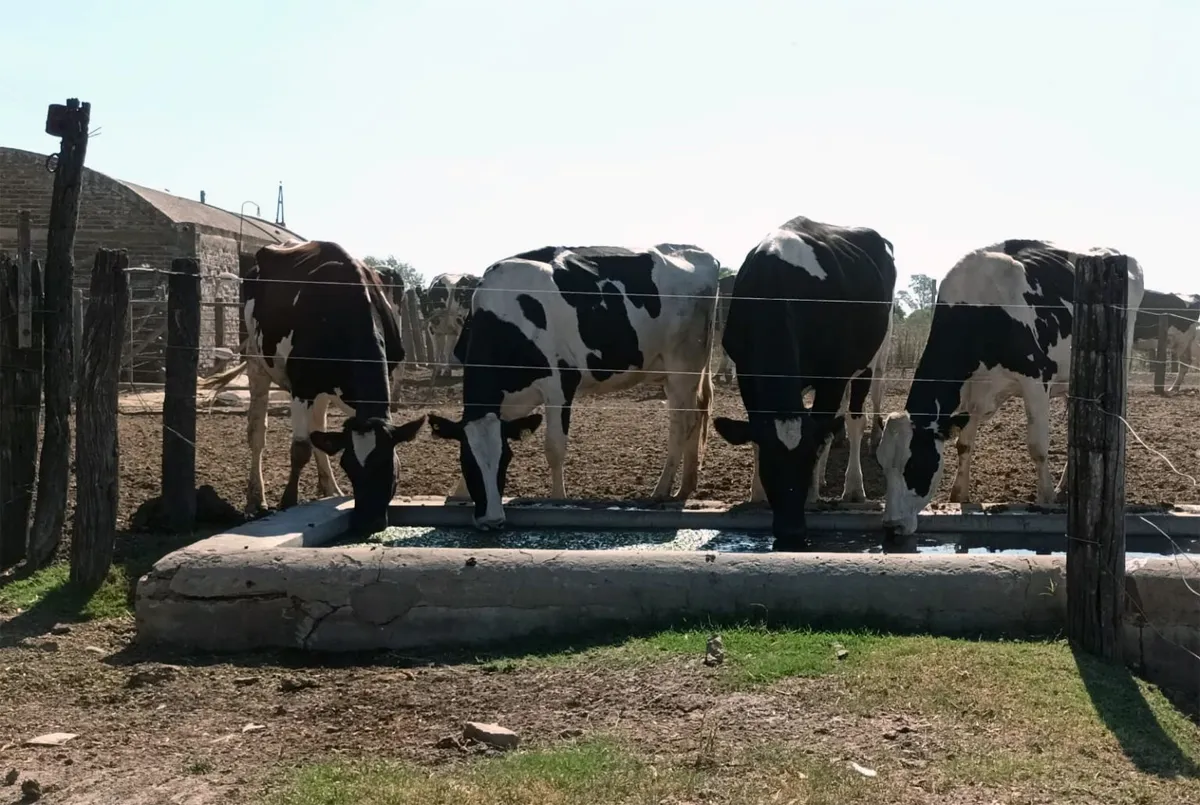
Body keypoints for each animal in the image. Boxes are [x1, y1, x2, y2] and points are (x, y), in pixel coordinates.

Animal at [198, 240, 427, 534]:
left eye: (388, 465)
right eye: (349, 466)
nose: (367, 522)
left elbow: (321, 438)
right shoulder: (301, 387)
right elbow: (300, 449)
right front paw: (288, 502)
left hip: (322, 391)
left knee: (319, 429)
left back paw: (330, 490)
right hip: (257, 362)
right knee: (257, 434)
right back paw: (255, 500)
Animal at [426, 243, 721, 530]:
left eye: (506, 459)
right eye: (466, 461)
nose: (491, 519)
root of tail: (699, 253)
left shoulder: (560, 384)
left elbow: (554, 449)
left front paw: (558, 501)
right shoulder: (509, 399)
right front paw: (459, 495)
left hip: (683, 367)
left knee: (683, 425)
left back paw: (663, 490)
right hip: (673, 375)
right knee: (692, 417)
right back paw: (685, 487)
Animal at [711, 216, 898, 551]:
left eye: (804, 462)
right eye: (771, 466)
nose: (792, 532)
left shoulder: (834, 375)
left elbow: (824, 430)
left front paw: (811, 491)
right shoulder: (746, 372)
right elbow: (760, 429)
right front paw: (757, 491)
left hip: (872, 359)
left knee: (854, 419)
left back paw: (852, 487)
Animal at [876, 239, 1146, 538]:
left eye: (913, 465)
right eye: (882, 464)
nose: (891, 526)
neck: (980, 309)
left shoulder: (1035, 380)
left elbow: (1038, 447)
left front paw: (1046, 499)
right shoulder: (974, 393)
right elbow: (963, 444)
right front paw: (958, 497)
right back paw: (1067, 485)